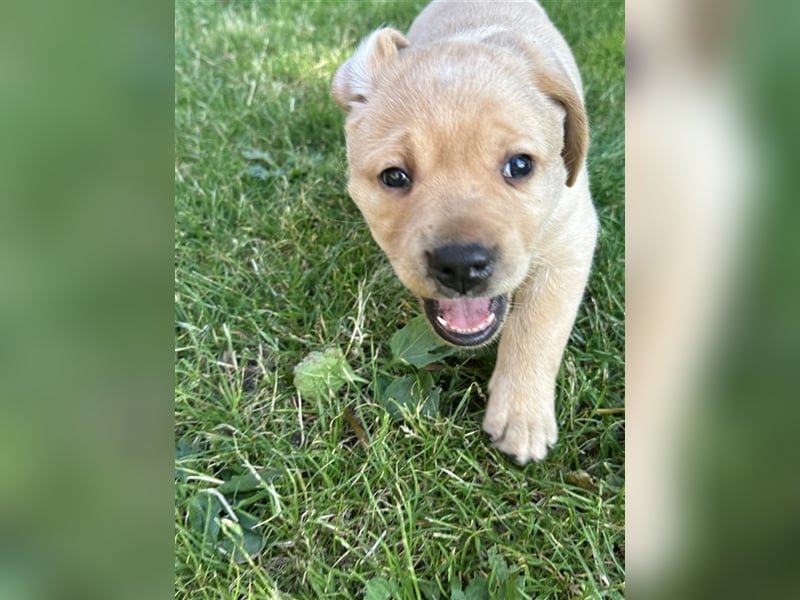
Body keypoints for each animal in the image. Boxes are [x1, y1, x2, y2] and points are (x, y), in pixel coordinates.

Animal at [328, 0, 596, 464]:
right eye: (394, 176)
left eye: (520, 165)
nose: (460, 265)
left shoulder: (572, 238)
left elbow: (539, 327)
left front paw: (522, 416)